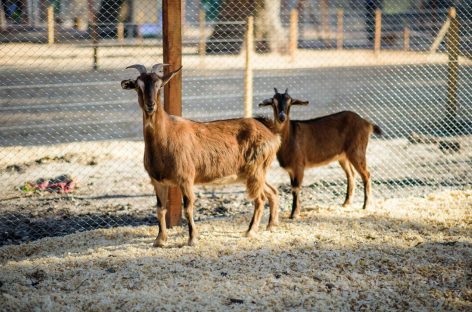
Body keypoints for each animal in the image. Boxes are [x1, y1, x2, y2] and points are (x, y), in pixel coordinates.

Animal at [121, 64, 280, 247]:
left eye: (160, 86)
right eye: (138, 86)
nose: (150, 105)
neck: (165, 138)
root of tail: (271, 131)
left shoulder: (185, 178)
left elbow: (188, 208)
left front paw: (192, 239)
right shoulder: (157, 181)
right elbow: (160, 209)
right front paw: (160, 240)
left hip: (255, 170)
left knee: (259, 199)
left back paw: (250, 231)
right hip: (253, 173)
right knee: (272, 191)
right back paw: (271, 226)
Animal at [260, 88, 382, 217]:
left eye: (290, 102)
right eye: (273, 102)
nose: (282, 117)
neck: (290, 136)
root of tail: (367, 123)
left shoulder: (299, 165)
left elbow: (296, 188)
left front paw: (294, 214)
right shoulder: (291, 169)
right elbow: (293, 187)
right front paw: (295, 211)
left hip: (357, 151)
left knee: (366, 174)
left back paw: (366, 205)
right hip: (343, 156)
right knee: (351, 174)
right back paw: (346, 203)